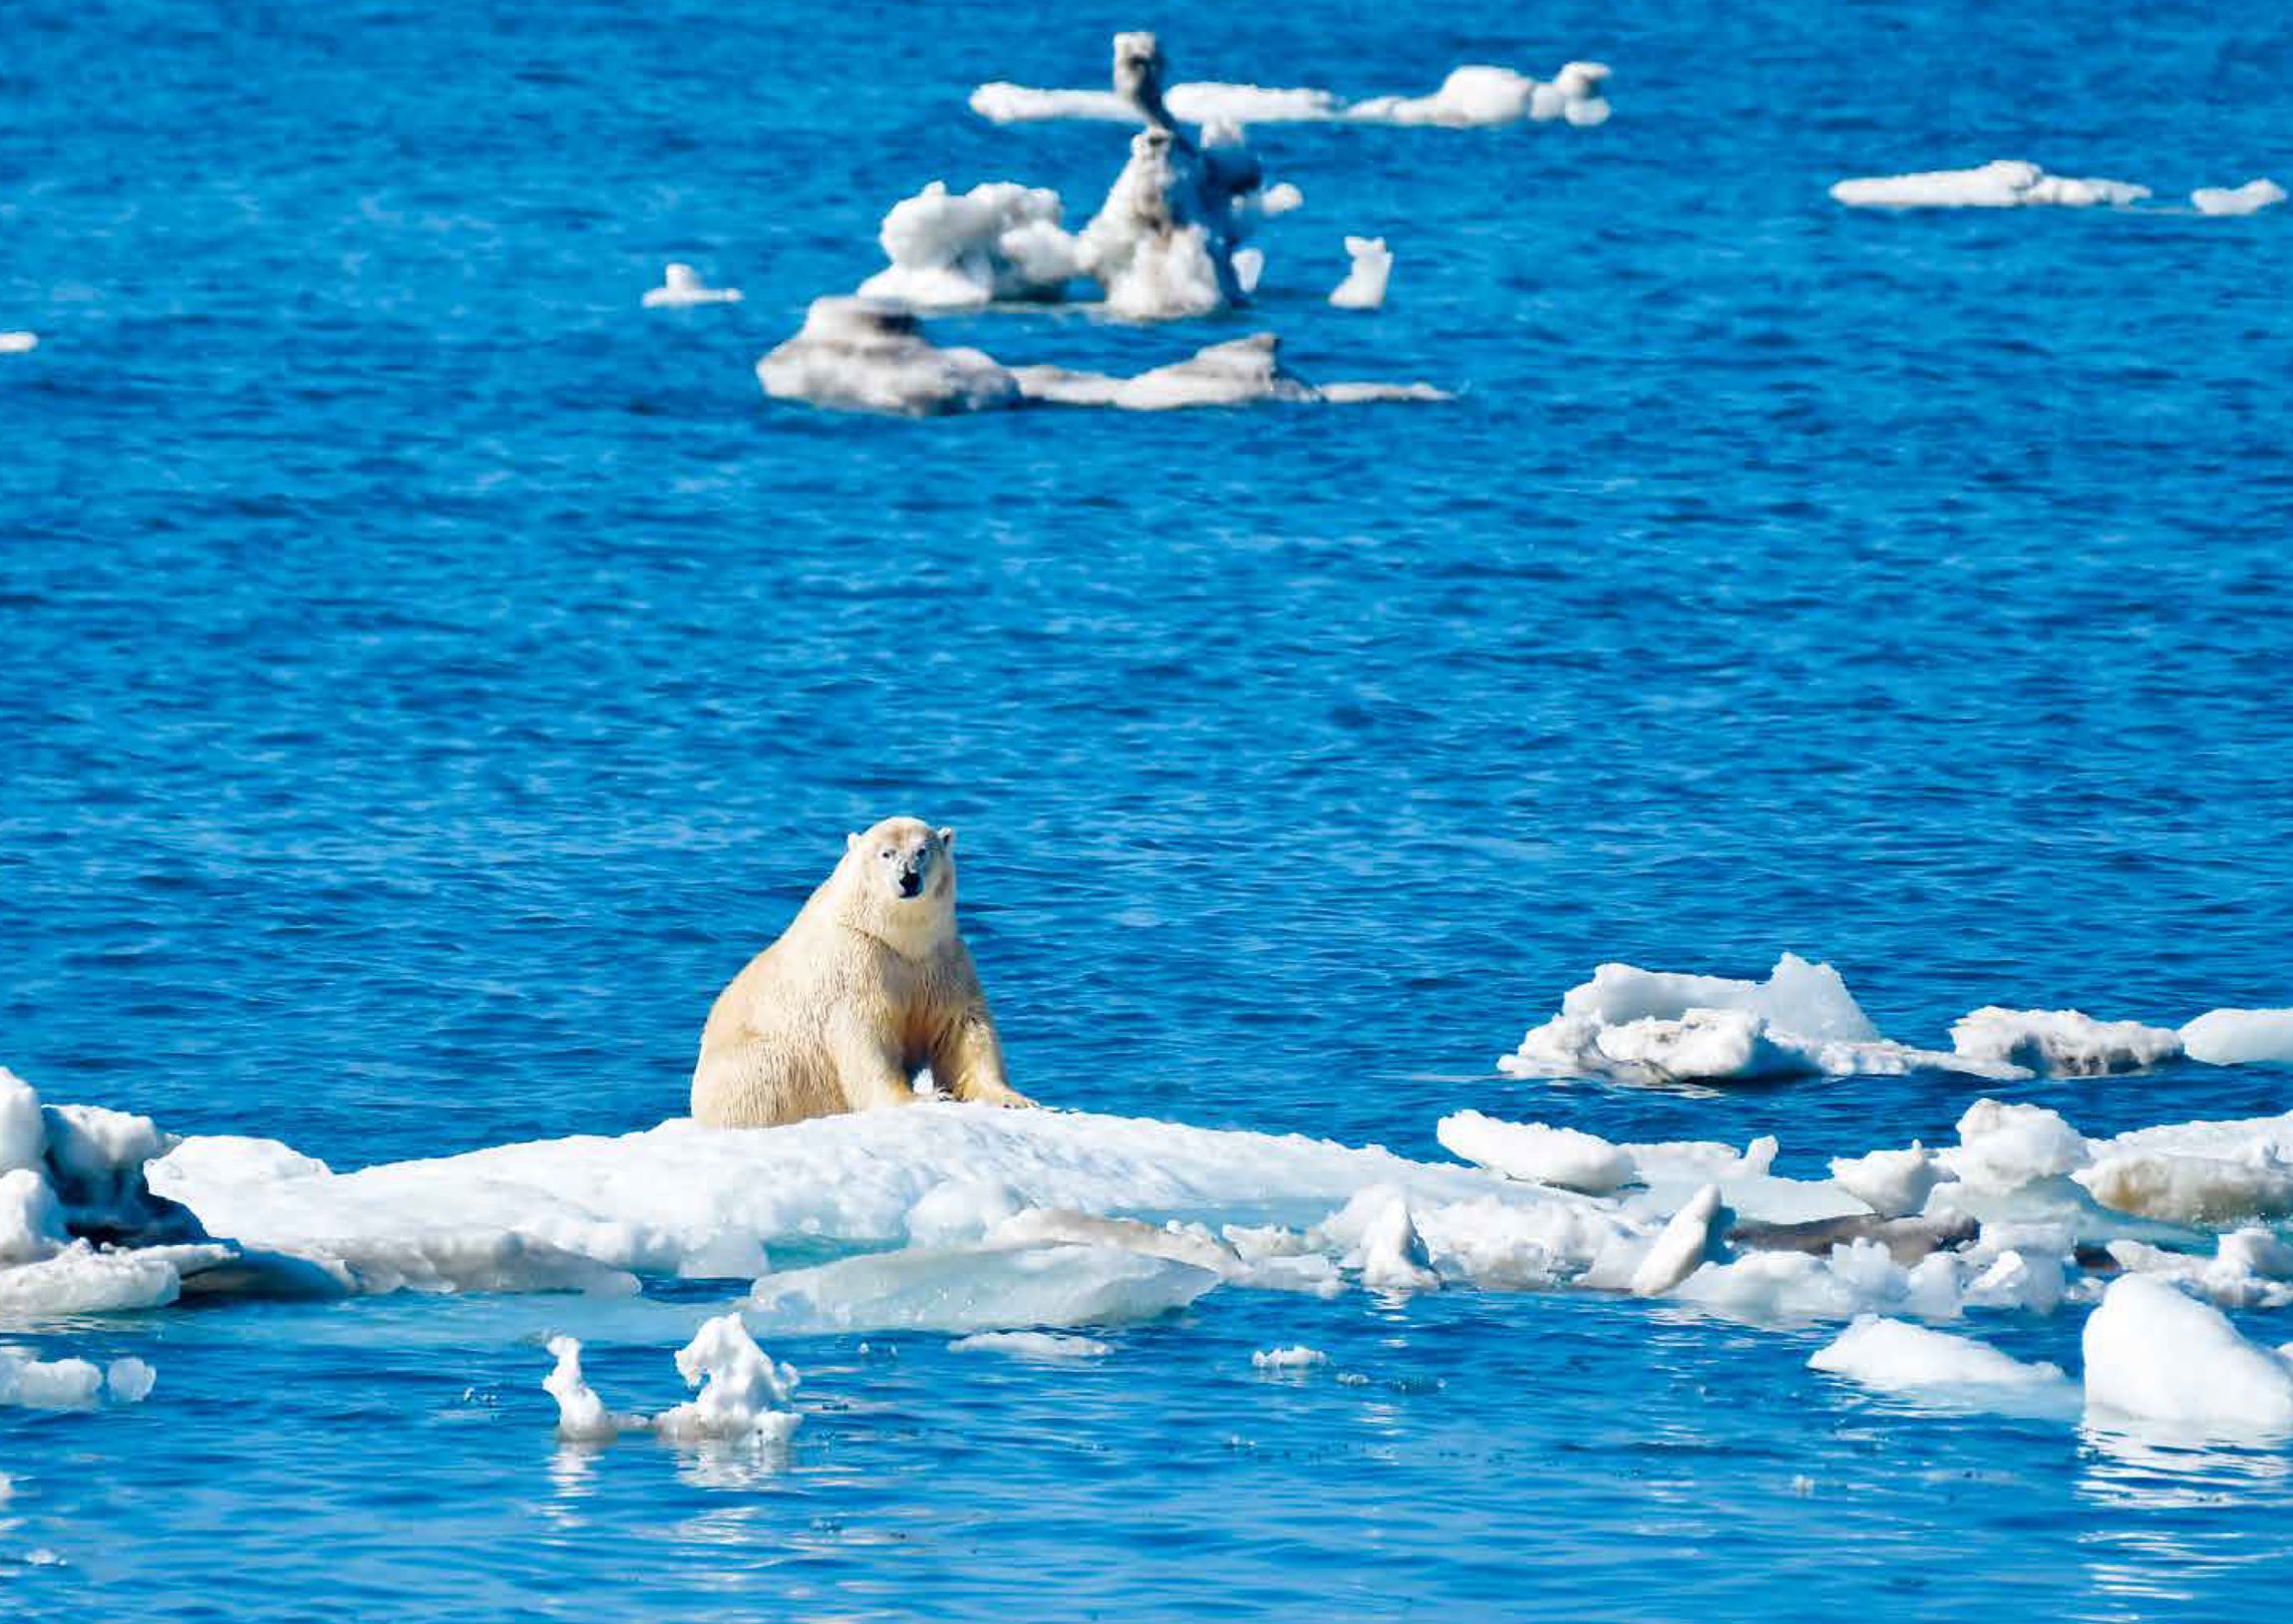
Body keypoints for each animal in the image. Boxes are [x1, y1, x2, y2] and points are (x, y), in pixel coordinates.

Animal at [688, 812, 1032, 1129]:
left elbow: (962, 1028)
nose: (909, 878)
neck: (899, 940)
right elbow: (866, 1037)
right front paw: (923, 1098)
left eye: (922, 850)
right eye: (887, 853)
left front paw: (1013, 1099)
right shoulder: (857, 964)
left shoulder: (941, 959)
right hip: (754, 1066)